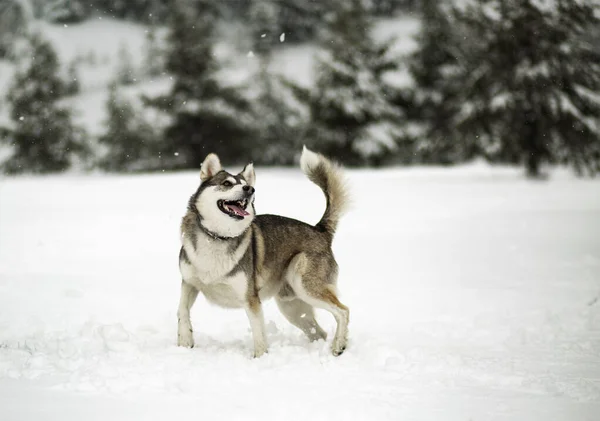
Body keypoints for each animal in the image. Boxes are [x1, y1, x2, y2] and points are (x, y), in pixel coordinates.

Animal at [176, 146, 350, 356]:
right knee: (319, 332)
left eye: (245, 185)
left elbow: (259, 333)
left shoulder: (251, 299)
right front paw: (185, 342)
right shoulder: (189, 283)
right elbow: (181, 310)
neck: (217, 237)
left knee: (343, 311)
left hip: (305, 285)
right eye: (226, 183)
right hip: (291, 306)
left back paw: (339, 345)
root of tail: (319, 230)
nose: (250, 190)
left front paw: (260, 358)